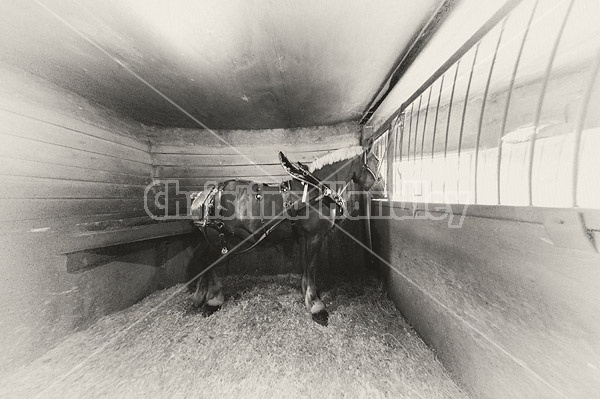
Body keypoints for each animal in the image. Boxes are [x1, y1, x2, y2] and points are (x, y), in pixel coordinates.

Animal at [190, 145, 382, 326]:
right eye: (375, 160)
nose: (380, 187)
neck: (315, 189)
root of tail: (202, 195)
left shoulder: (305, 236)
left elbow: (306, 265)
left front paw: (307, 293)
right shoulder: (315, 236)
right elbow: (312, 266)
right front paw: (316, 306)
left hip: (209, 237)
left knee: (201, 258)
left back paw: (200, 296)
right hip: (218, 237)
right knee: (209, 262)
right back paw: (214, 299)